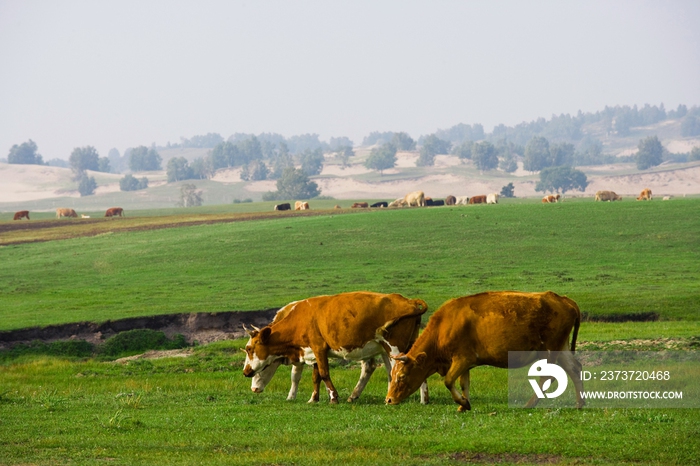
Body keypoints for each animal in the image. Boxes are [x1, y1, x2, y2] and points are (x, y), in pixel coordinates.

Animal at [243, 292, 430, 404]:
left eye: (250, 348)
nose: (246, 372)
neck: (300, 317)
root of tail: (409, 302)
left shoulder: (318, 348)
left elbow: (323, 373)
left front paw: (333, 397)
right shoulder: (312, 352)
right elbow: (315, 376)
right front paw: (313, 399)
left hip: (394, 347)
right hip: (392, 346)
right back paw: (420, 398)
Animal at [386, 292, 584, 412]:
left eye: (402, 376)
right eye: (393, 374)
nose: (388, 399)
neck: (445, 325)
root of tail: (563, 299)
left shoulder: (462, 359)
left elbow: (449, 381)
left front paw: (463, 403)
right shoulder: (464, 364)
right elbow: (464, 383)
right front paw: (463, 405)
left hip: (548, 350)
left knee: (547, 378)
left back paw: (529, 405)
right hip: (561, 348)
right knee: (575, 369)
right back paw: (580, 403)